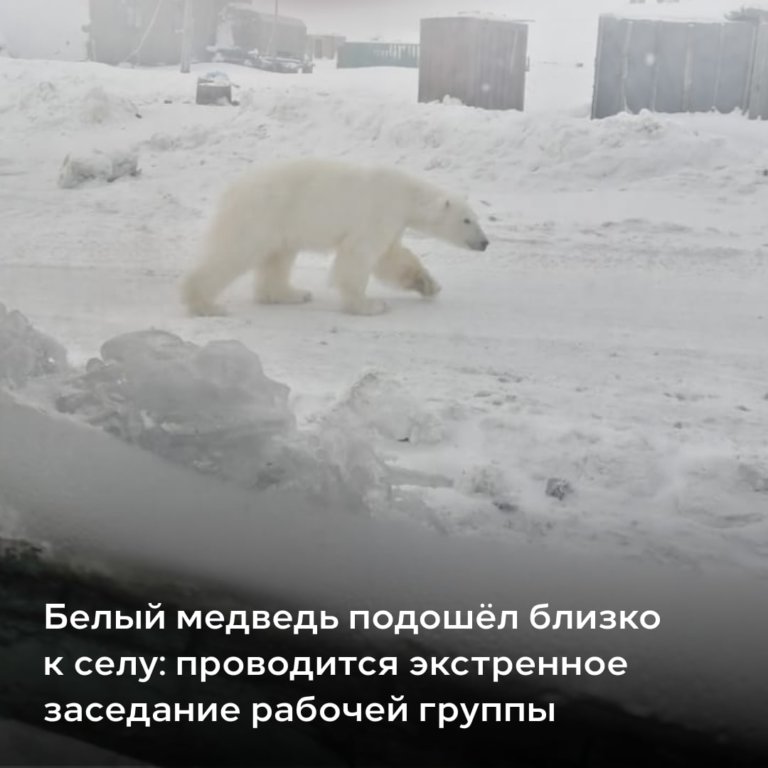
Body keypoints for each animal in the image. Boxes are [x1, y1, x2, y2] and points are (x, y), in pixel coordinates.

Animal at [181, 158, 489, 316]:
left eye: (477, 218)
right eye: (467, 220)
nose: (485, 243)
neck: (405, 195)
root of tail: (232, 190)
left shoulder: (392, 222)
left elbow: (392, 257)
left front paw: (428, 285)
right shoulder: (378, 212)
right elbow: (359, 255)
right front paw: (370, 305)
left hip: (282, 224)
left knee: (279, 257)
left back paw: (293, 293)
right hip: (261, 215)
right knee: (235, 252)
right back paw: (204, 303)